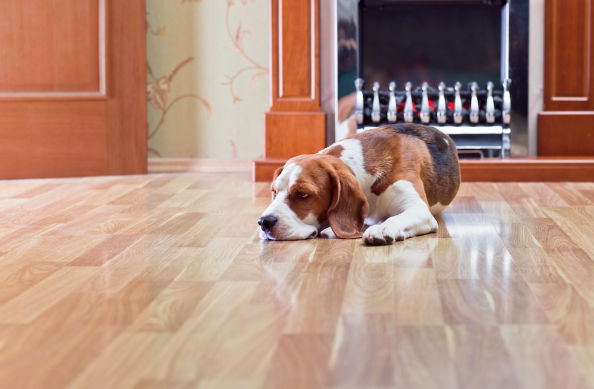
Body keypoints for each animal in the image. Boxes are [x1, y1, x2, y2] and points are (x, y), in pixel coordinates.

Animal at [258, 123, 458, 246]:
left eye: (303, 194)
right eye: (274, 192)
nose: (264, 222)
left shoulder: (419, 210)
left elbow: (396, 218)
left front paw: (383, 228)